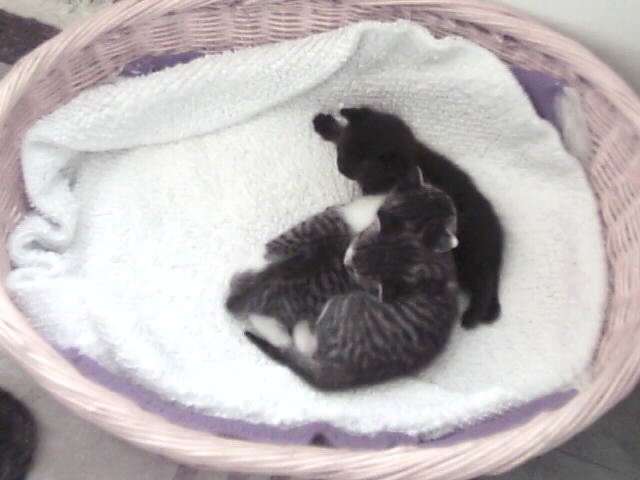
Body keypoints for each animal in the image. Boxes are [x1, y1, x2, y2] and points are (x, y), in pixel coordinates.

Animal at [313, 107, 503, 329]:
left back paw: (474, 314)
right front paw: (326, 125)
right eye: (342, 151)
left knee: (484, 284)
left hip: (471, 258)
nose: (340, 167)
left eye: (363, 165)